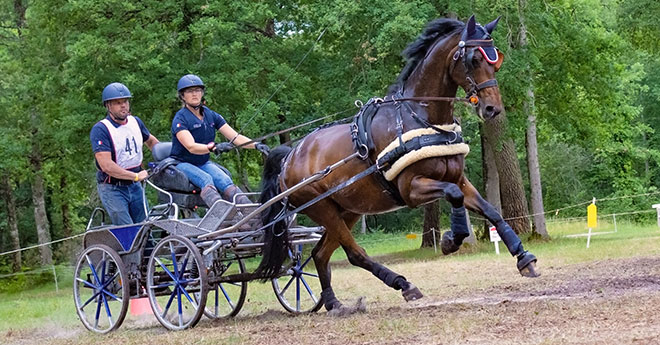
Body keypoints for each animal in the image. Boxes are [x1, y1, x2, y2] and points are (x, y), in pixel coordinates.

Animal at [255, 15, 540, 312]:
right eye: (473, 59)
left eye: (496, 59)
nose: (492, 109)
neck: (422, 119)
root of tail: (290, 157)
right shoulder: (411, 189)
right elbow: (454, 196)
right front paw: (451, 239)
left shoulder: (458, 178)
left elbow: (490, 210)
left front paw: (523, 257)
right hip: (323, 209)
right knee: (355, 253)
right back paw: (403, 284)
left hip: (349, 209)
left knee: (321, 254)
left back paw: (334, 303)